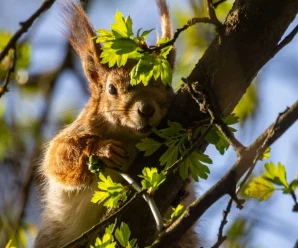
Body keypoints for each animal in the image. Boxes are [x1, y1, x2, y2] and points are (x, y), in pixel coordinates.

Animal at [34, 0, 176, 247]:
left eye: (167, 84)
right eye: (112, 89)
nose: (146, 109)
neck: (129, 137)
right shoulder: (78, 129)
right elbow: (58, 157)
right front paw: (104, 150)